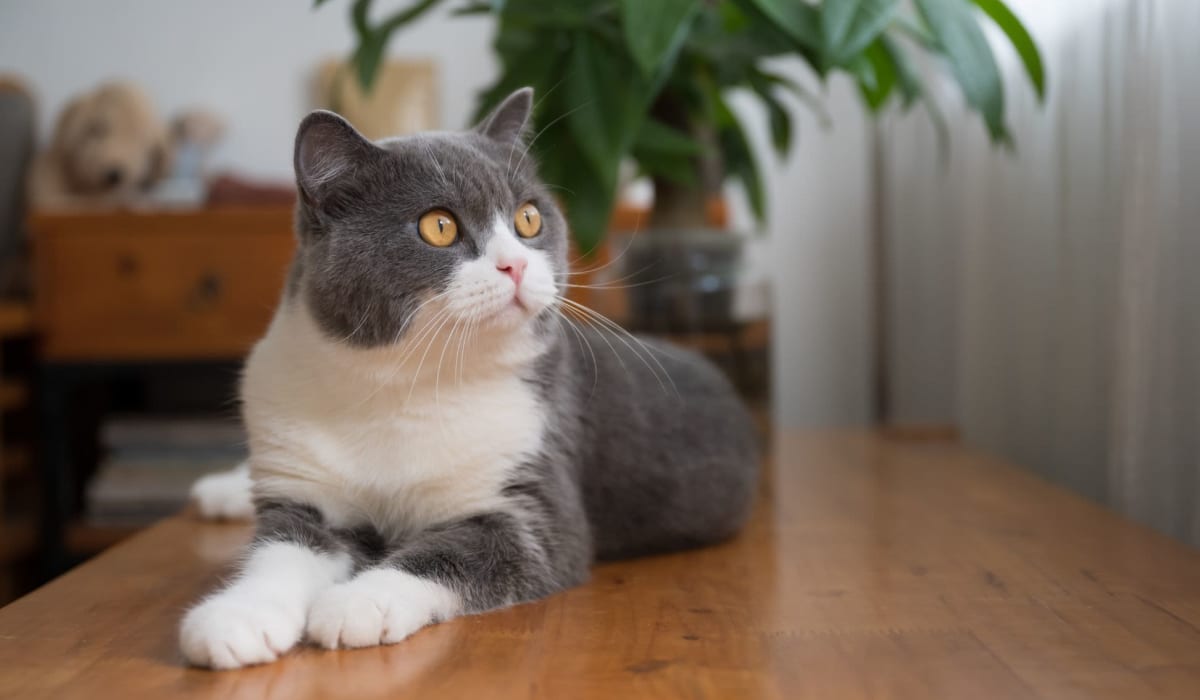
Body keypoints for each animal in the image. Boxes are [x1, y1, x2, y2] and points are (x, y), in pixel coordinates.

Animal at [177, 87, 758, 667]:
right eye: (439, 226)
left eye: (529, 218)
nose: (515, 266)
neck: (401, 385)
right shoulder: (304, 487)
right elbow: (282, 550)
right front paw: (236, 618)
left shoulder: (534, 500)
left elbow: (452, 553)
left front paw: (357, 603)